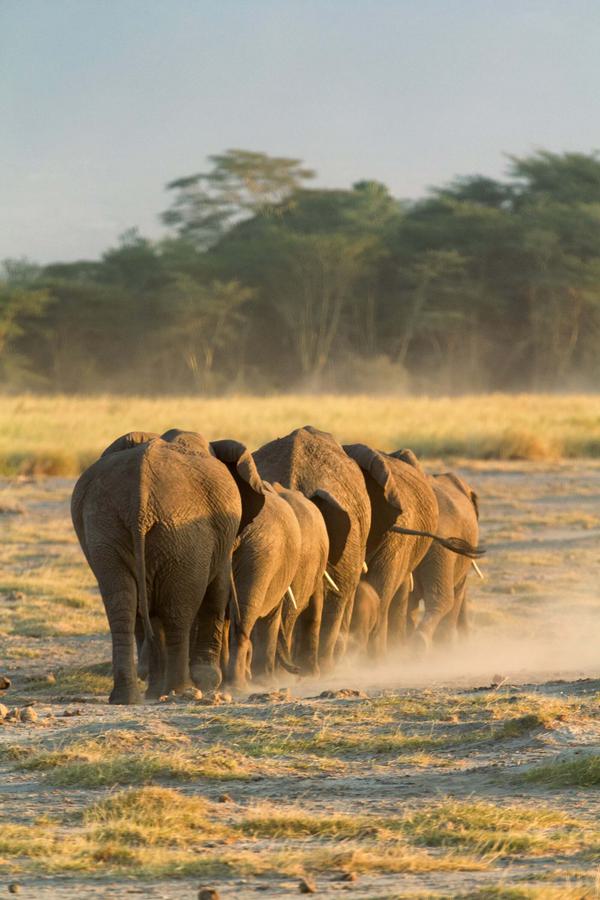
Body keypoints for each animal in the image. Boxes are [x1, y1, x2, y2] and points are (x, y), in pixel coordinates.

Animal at [71, 429, 266, 704]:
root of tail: (139, 500)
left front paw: (157, 690)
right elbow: (217, 590)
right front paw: (208, 682)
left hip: (106, 527)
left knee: (123, 606)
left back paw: (128, 698)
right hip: (183, 536)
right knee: (178, 611)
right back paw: (180, 689)